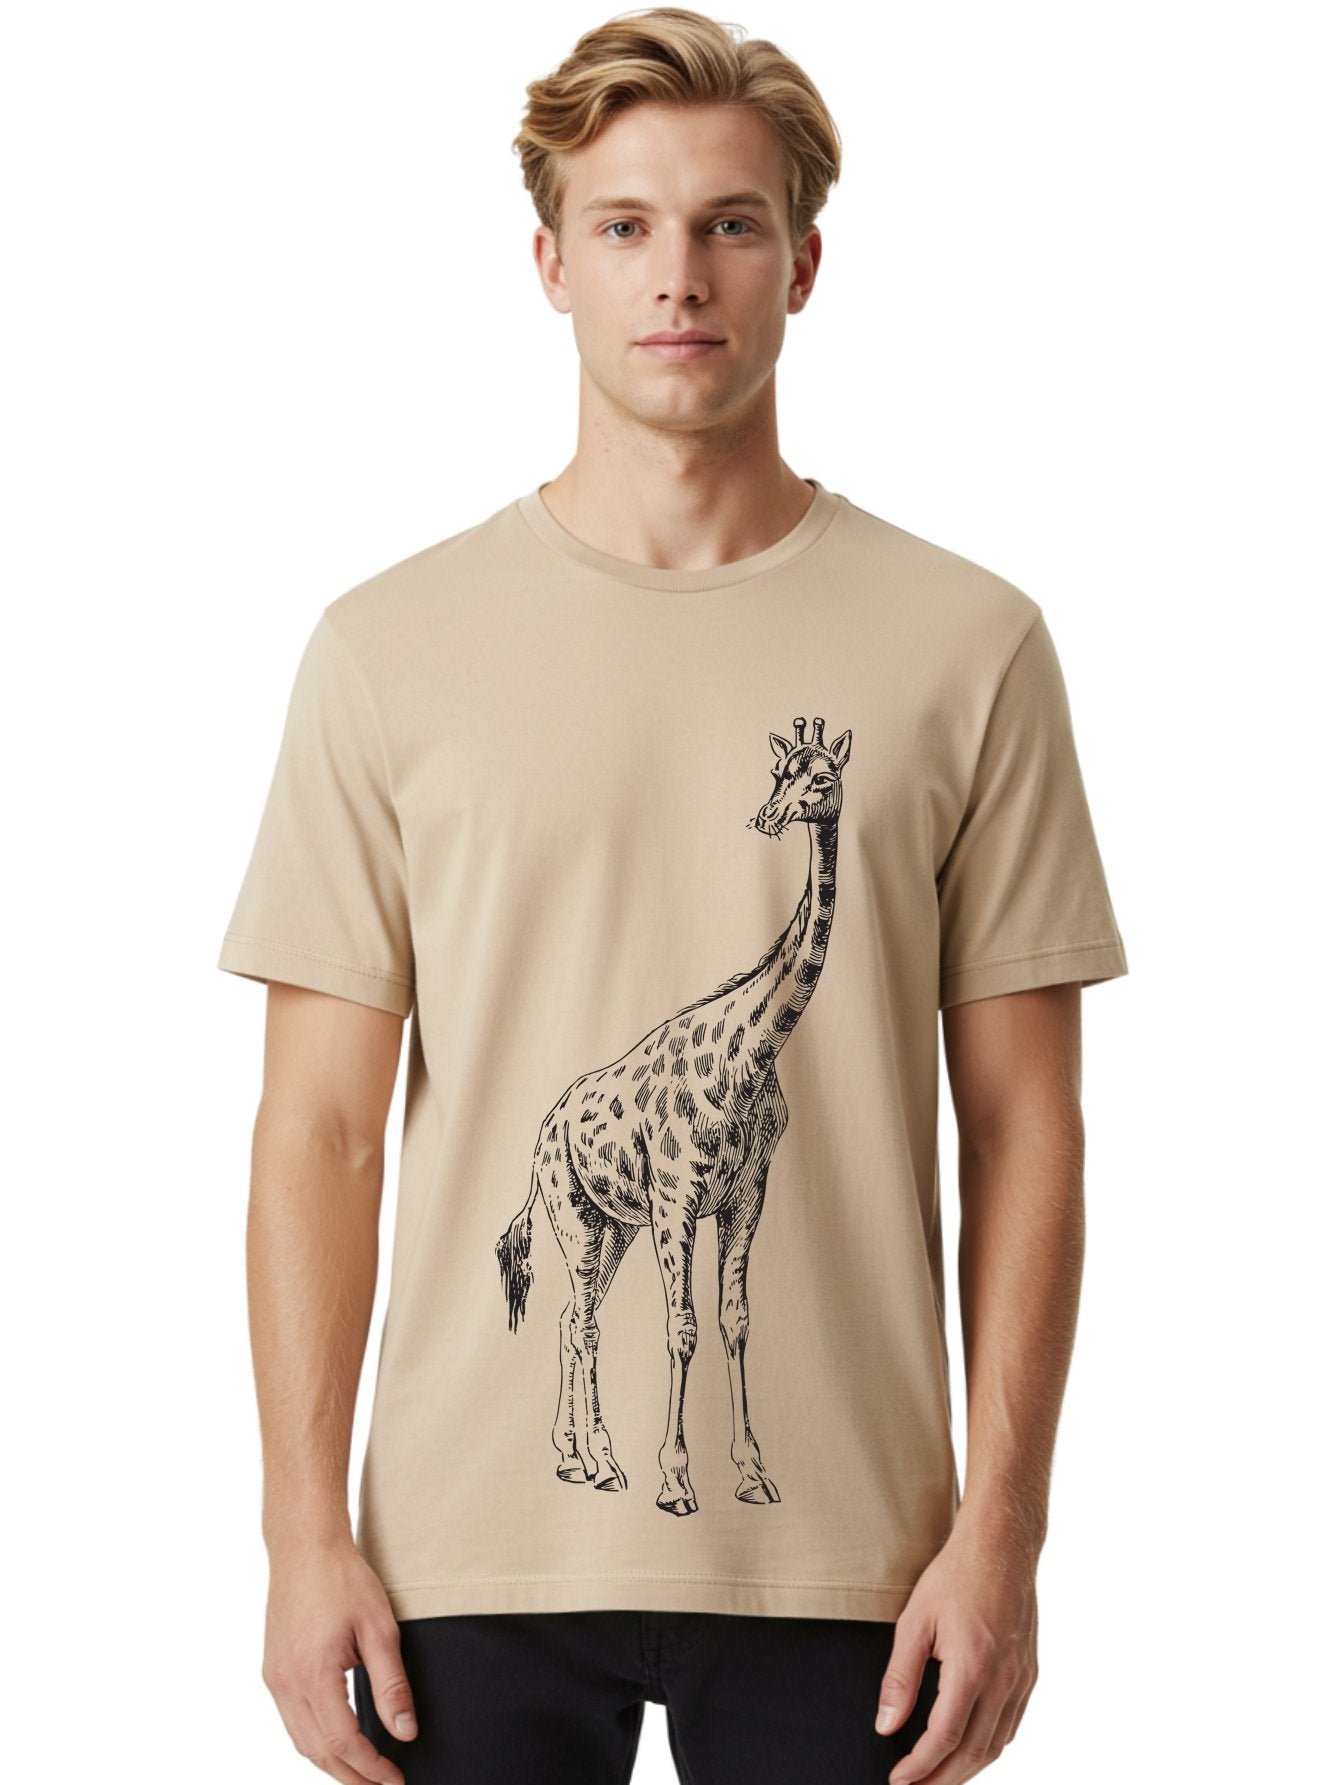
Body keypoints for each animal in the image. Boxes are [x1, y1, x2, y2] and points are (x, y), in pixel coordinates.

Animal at [495, 715, 852, 1516]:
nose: (769, 817)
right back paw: (605, 1462)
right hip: (576, 1215)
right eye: (782, 773)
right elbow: (681, 1328)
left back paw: (573, 1457)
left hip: (613, 1227)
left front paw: (751, 1472)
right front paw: (675, 1477)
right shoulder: (676, 1198)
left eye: (824, 777)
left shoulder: (746, 1195)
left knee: (570, 1319)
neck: (752, 1050)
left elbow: (735, 1321)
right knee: (587, 1322)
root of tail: (541, 1135)